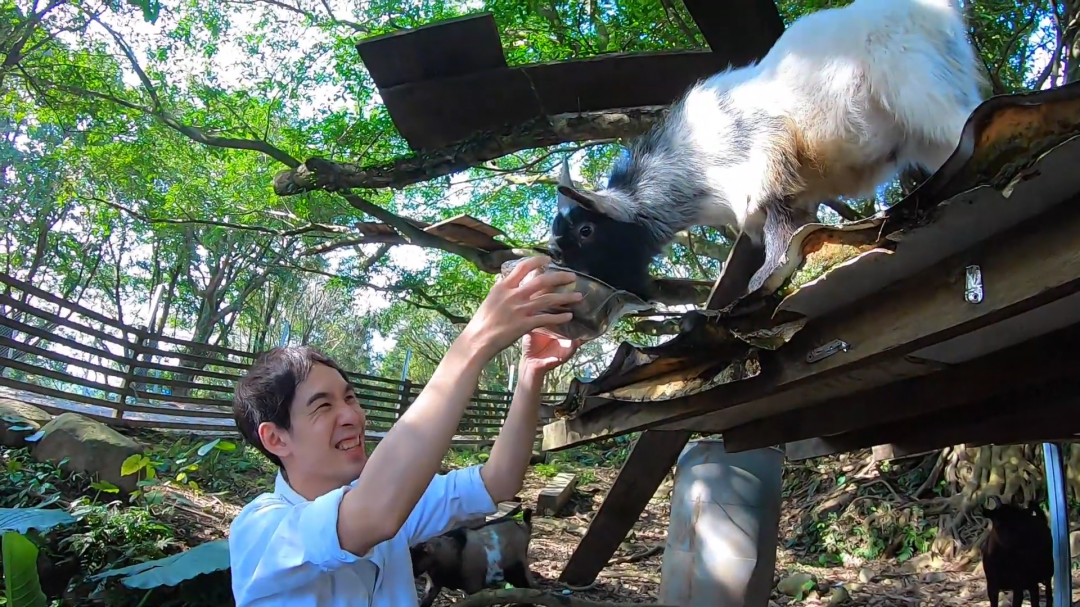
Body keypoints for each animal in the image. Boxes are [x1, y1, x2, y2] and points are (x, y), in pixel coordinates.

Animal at [548, 0, 989, 302]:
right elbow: (797, 225)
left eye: (587, 231)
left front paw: (764, 278)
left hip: (921, 87)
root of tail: (938, 11)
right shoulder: (797, 192)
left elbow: (780, 226)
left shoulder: (767, 164)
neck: (692, 164)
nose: (575, 282)